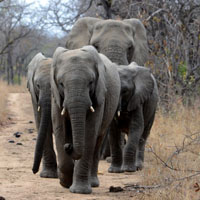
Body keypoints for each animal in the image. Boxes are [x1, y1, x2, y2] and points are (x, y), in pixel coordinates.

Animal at [32, 45, 120, 194]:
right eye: (61, 83)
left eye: (91, 82)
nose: (69, 146)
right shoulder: (56, 96)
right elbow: (60, 128)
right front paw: (65, 183)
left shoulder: (99, 94)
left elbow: (89, 132)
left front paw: (79, 191)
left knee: (97, 141)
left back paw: (92, 183)